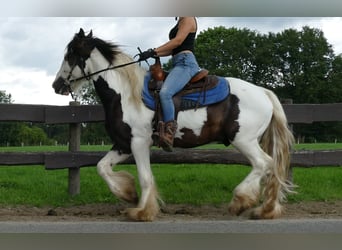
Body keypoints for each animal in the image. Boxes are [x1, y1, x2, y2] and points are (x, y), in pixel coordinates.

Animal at [51, 28, 294, 222]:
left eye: (70, 55)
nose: (56, 85)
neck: (126, 95)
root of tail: (264, 92)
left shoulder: (139, 143)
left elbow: (145, 177)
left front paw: (142, 212)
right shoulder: (123, 144)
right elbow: (102, 167)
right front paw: (128, 194)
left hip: (244, 140)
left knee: (265, 163)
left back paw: (241, 201)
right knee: (270, 169)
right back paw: (266, 210)